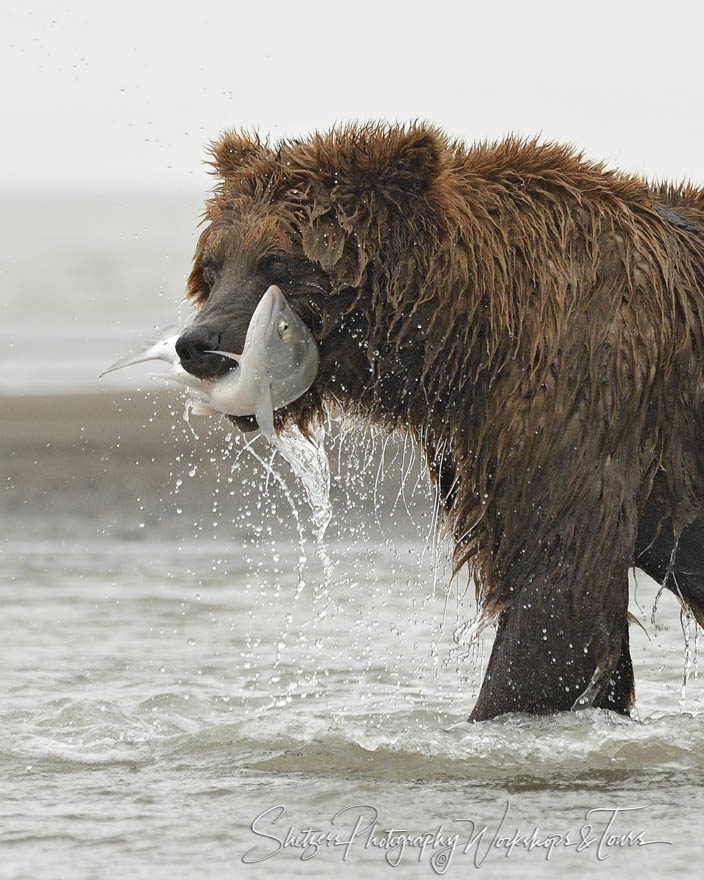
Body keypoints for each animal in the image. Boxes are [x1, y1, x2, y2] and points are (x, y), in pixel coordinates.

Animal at [176, 124, 704, 720]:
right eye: (213, 267)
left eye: (278, 263)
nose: (199, 343)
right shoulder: (481, 439)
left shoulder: (582, 394)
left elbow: (556, 594)